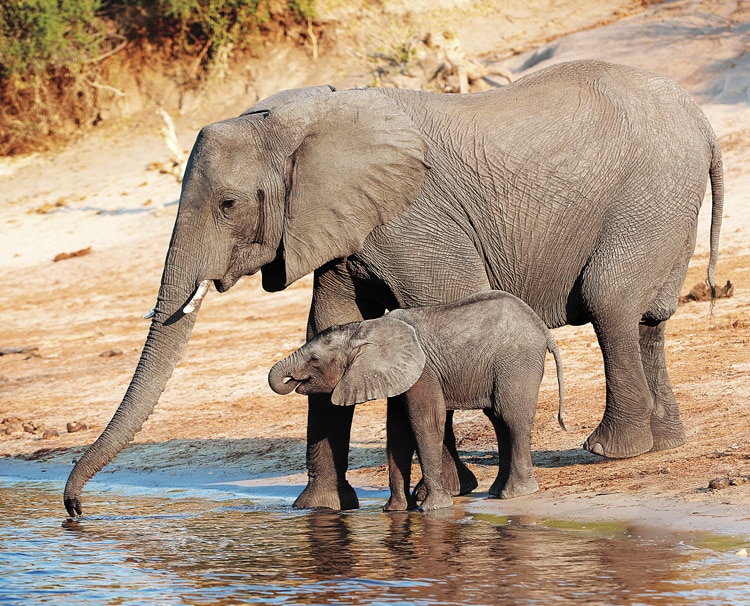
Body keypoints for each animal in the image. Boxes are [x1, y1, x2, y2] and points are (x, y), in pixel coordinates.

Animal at [268, 292, 568, 510]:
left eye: (314, 360)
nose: (291, 380)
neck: (364, 329)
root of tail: (542, 329)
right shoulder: (400, 375)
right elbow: (397, 433)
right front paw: (395, 511)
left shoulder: (423, 371)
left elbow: (426, 422)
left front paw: (432, 509)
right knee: (497, 419)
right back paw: (497, 492)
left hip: (516, 361)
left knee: (510, 416)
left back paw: (515, 494)